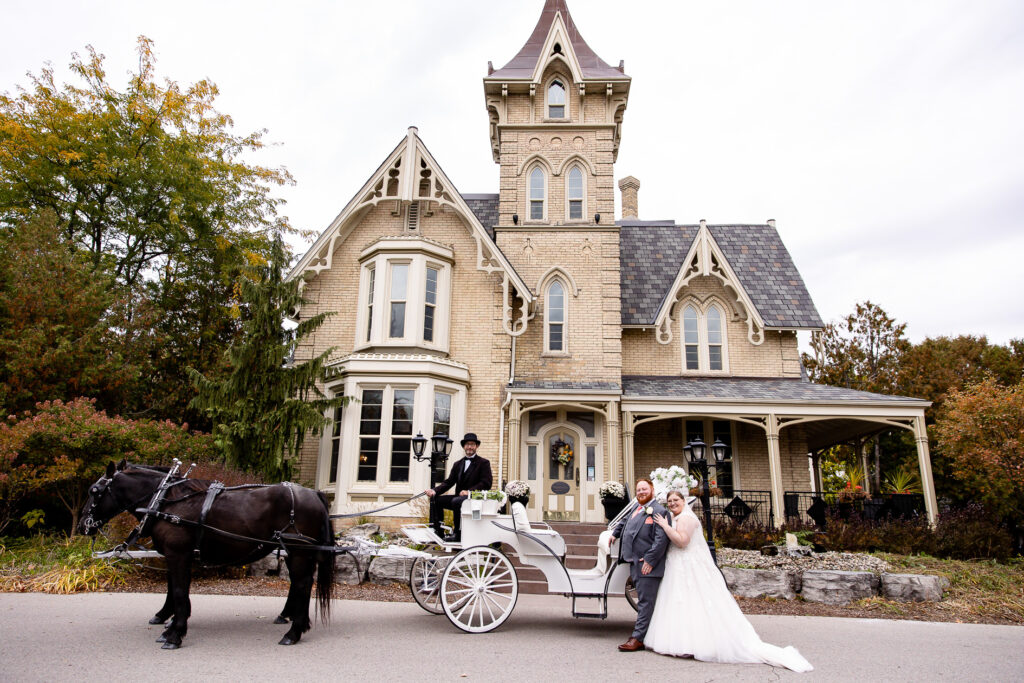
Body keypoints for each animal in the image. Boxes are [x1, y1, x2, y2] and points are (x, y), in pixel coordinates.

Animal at [81, 462, 335, 651]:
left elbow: (179, 592)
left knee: (302, 584)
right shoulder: (176, 555)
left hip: (299, 551)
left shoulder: (178, 554)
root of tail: (314, 494)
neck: (165, 502)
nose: (83, 525)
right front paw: (169, 623)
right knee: (300, 584)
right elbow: (175, 590)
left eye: (95, 491)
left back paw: (294, 632)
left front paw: (175, 633)